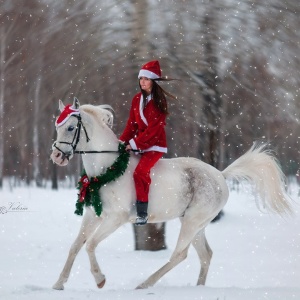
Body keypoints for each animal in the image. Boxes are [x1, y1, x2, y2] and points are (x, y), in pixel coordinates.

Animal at [50, 98, 292, 290]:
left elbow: (90, 245)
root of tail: (221, 175)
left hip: (192, 221)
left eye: (71, 128)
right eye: (57, 126)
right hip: (196, 224)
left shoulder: (116, 218)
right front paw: (59, 284)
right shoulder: (93, 214)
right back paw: (198, 288)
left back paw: (144, 284)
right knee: (205, 255)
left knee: (180, 254)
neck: (106, 169)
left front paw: (100, 279)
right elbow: (76, 246)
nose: (57, 156)